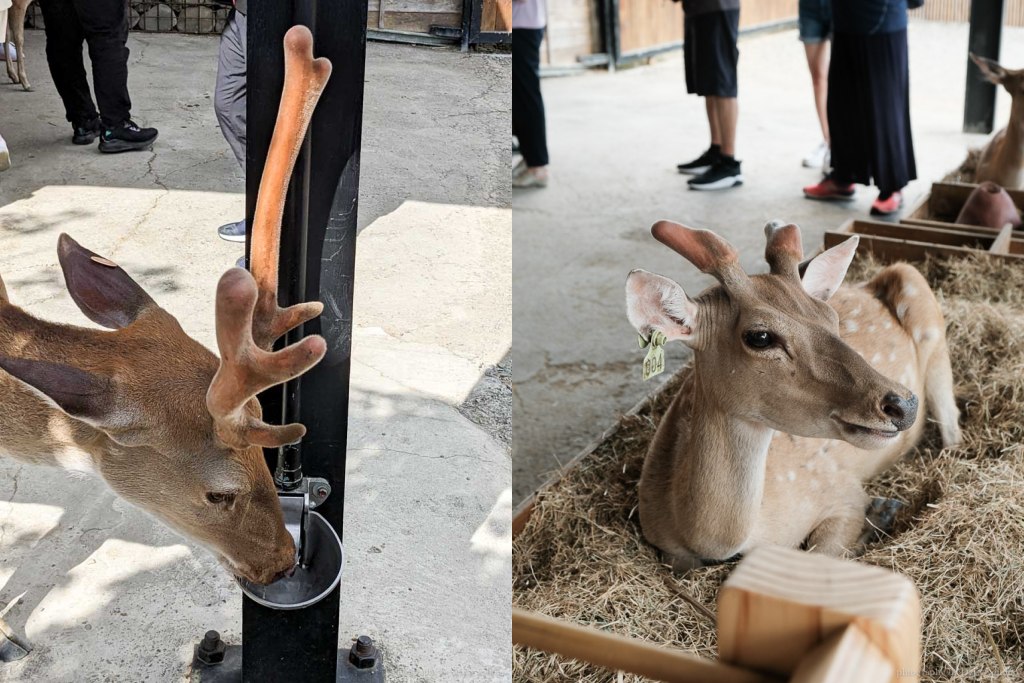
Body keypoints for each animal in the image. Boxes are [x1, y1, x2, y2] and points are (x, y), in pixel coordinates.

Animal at [622, 220, 958, 573]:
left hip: (924, 307)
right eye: (760, 336)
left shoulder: (841, 491)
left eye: (832, 318)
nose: (903, 405)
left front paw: (878, 516)